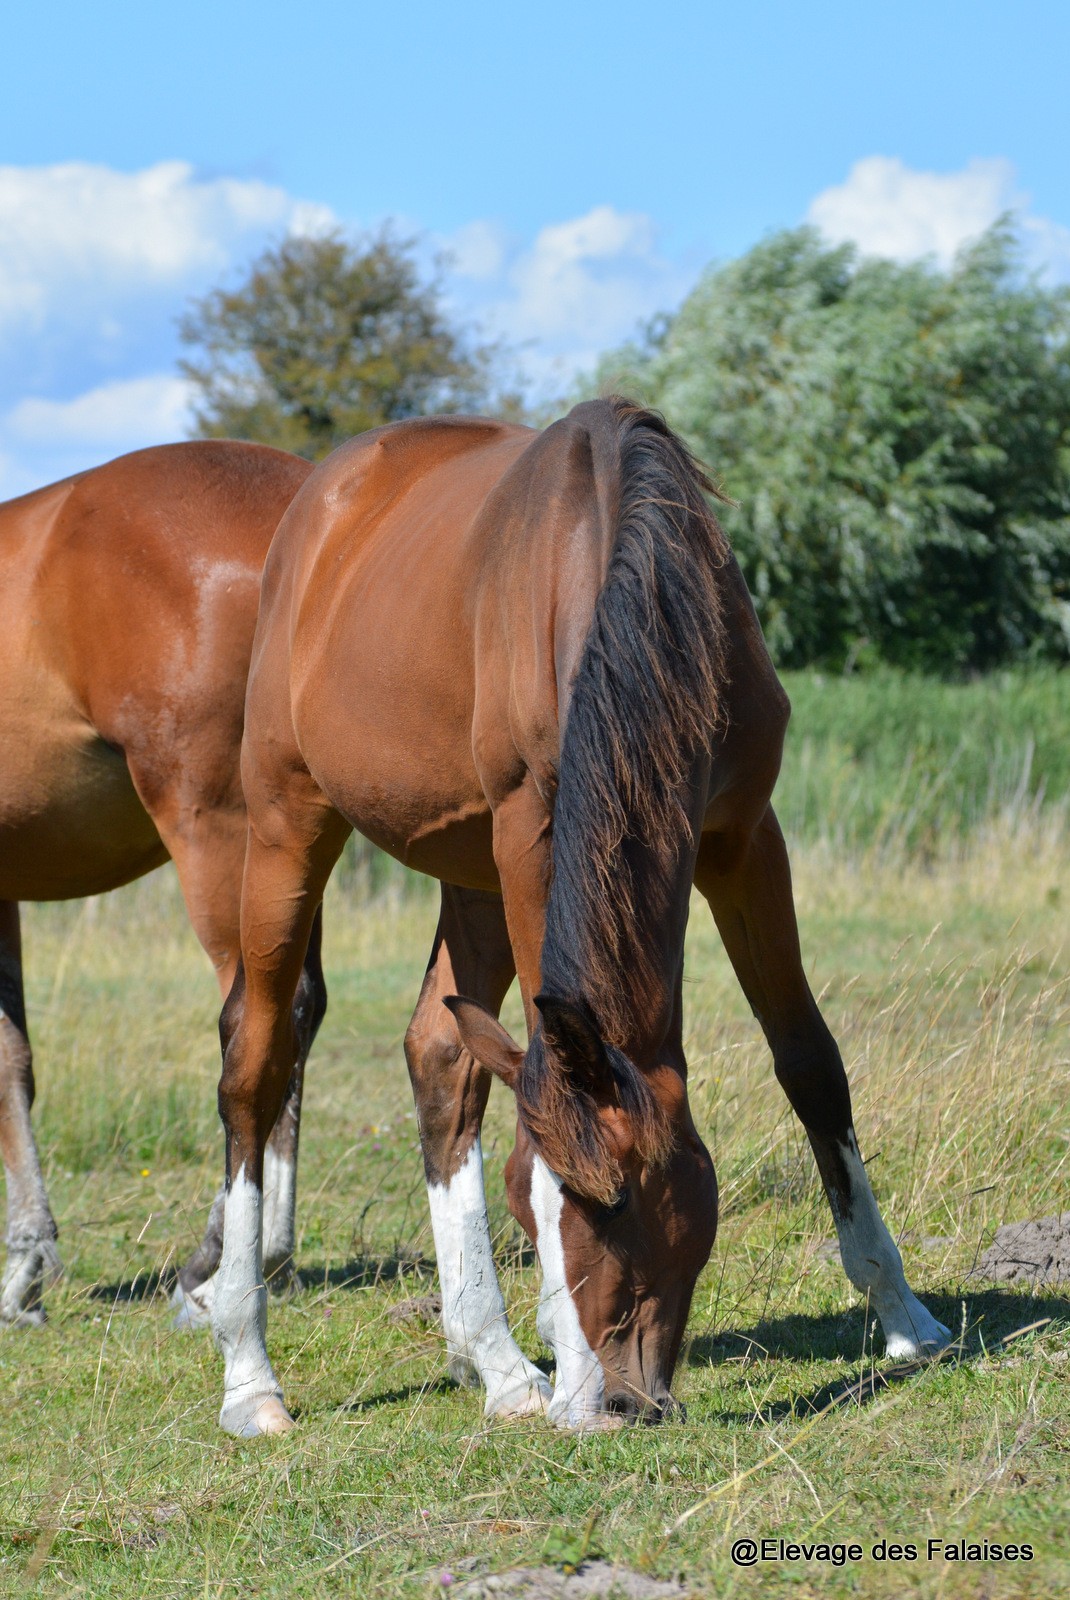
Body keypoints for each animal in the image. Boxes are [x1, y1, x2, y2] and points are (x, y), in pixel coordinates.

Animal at [204, 400, 946, 1440]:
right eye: (529, 1205)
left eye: (622, 1197)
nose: (611, 1403)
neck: (619, 565)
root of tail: (319, 504)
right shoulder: (533, 834)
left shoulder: (742, 836)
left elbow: (808, 1059)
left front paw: (906, 1316)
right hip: (286, 821)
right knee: (255, 1063)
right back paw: (251, 1372)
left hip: (465, 864)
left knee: (441, 1052)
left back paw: (496, 1364)